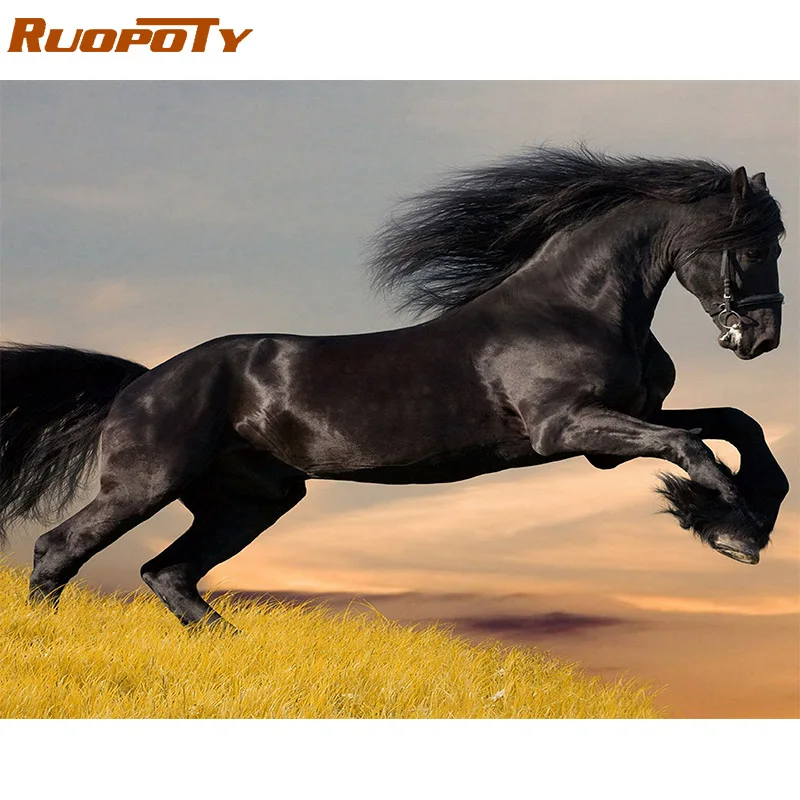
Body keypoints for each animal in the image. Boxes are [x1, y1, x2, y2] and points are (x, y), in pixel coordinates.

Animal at [0, 147, 788, 632]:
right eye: (750, 244)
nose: (762, 338)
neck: (574, 306)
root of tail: (141, 382)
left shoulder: (617, 427)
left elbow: (736, 424)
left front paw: (746, 516)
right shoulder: (566, 429)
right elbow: (694, 447)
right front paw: (733, 531)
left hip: (252, 499)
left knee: (168, 572)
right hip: (146, 483)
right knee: (59, 549)